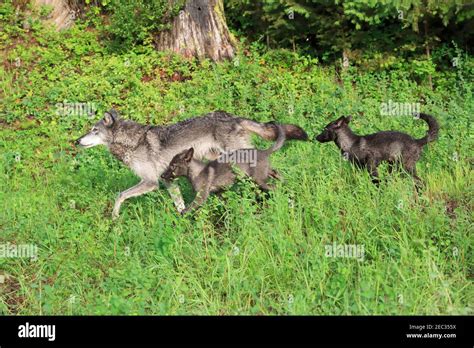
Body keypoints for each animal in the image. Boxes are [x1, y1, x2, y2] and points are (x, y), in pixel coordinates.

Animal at [75, 109, 308, 218]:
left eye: (94, 130)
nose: (76, 141)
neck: (131, 142)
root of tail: (233, 117)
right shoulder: (168, 181)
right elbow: (180, 205)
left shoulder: (151, 182)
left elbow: (120, 195)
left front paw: (114, 217)